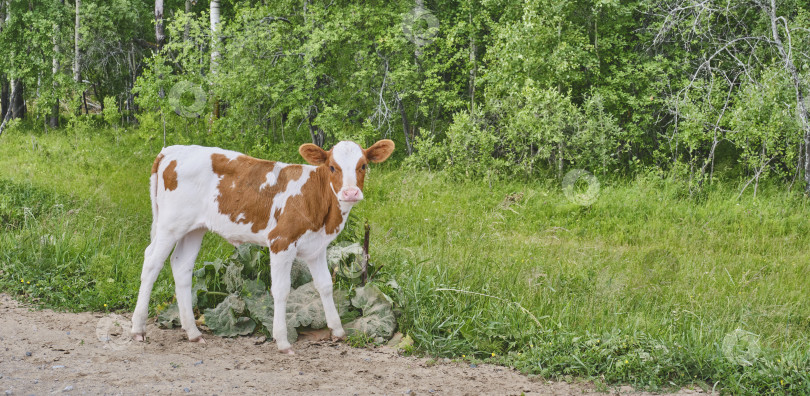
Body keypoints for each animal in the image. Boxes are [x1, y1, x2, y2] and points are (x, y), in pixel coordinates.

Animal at [131, 139, 392, 352]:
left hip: (194, 228)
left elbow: (326, 286)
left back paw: (193, 332)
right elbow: (281, 290)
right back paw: (138, 329)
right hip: (170, 224)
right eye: (332, 167)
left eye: (363, 166)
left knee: (181, 266)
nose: (350, 193)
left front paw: (337, 330)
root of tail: (172, 150)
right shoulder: (281, 242)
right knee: (151, 263)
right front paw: (283, 341)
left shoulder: (317, 248)